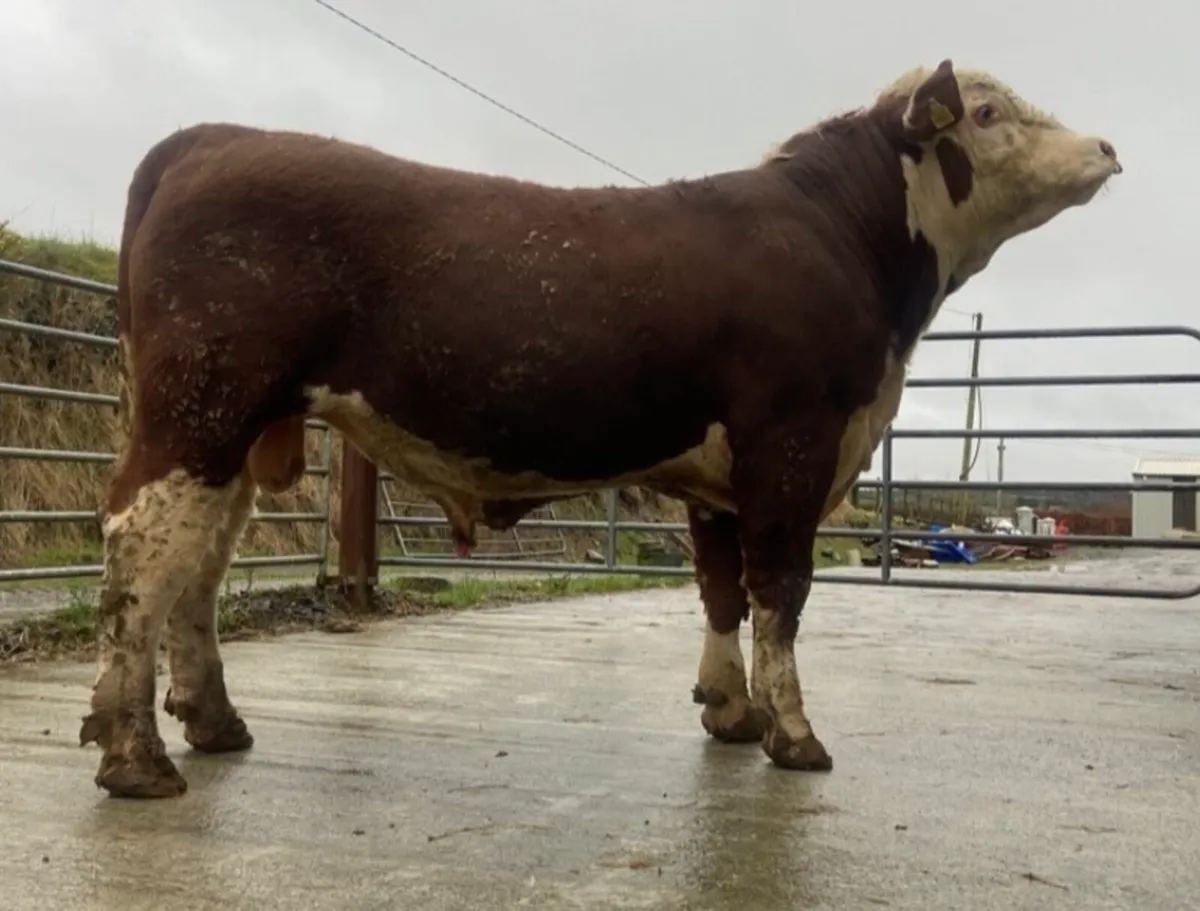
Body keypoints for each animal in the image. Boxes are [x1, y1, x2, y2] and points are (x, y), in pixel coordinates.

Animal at [79, 59, 1121, 798]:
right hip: (198, 408)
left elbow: (721, 591)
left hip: (236, 430)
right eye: (986, 113)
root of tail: (209, 137)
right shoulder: (791, 446)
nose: (1108, 146)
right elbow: (781, 593)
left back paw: (213, 722)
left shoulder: (722, 474)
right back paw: (135, 755)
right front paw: (793, 736)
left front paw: (729, 712)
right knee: (143, 551)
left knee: (198, 566)